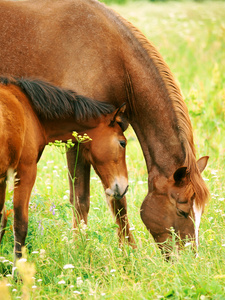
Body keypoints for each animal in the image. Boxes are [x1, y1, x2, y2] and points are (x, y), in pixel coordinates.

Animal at [0, 76, 130, 262]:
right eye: (122, 143)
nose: (124, 186)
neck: (28, 108)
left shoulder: (2, 178)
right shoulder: (26, 171)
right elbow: (20, 224)